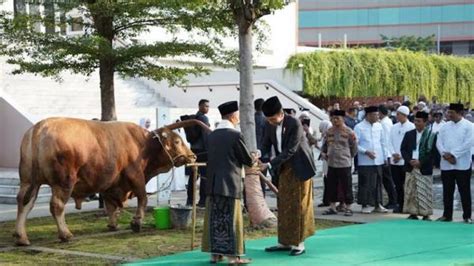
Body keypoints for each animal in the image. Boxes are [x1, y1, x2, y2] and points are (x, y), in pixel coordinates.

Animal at [14, 117, 208, 246]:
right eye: (177, 141)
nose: (193, 156)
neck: (142, 144)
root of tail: (40, 128)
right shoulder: (136, 175)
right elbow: (143, 198)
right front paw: (136, 222)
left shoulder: (110, 183)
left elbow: (111, 204)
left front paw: (113, 224)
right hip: (63, 182)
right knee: (56, 206)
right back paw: (65, 234)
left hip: (29, 181)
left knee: (24, 203)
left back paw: (21, 237)